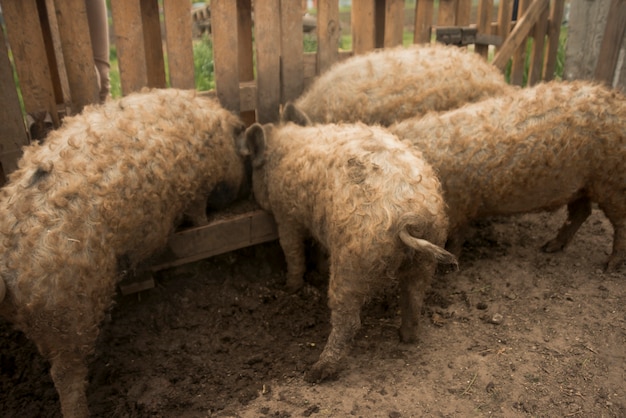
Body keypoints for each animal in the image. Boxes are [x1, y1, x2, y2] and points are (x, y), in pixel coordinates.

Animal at [0, 89, 249, 418]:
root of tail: (7, 268)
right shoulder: (196, 187)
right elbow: (198, 215)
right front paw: (203, 222)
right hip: (68, 313)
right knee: (65, 375)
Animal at [236, 120, 456, 382]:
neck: (279, 154)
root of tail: (409, 217)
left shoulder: (286, 215)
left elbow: (292, 252)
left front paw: (290, 287)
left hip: (352, 263)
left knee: (348, 320)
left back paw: (316, 372)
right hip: (427, 256)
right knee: (414, 297)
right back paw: (406, 337)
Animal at [388, 80, 620, 272]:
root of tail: (620, 103)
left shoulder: (458, 208)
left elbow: (455, 239)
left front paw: (449, 268)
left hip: (612, 181)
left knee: (618, 223)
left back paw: (609, 266)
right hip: (584, 184)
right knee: (582, 211)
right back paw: (549, 247)